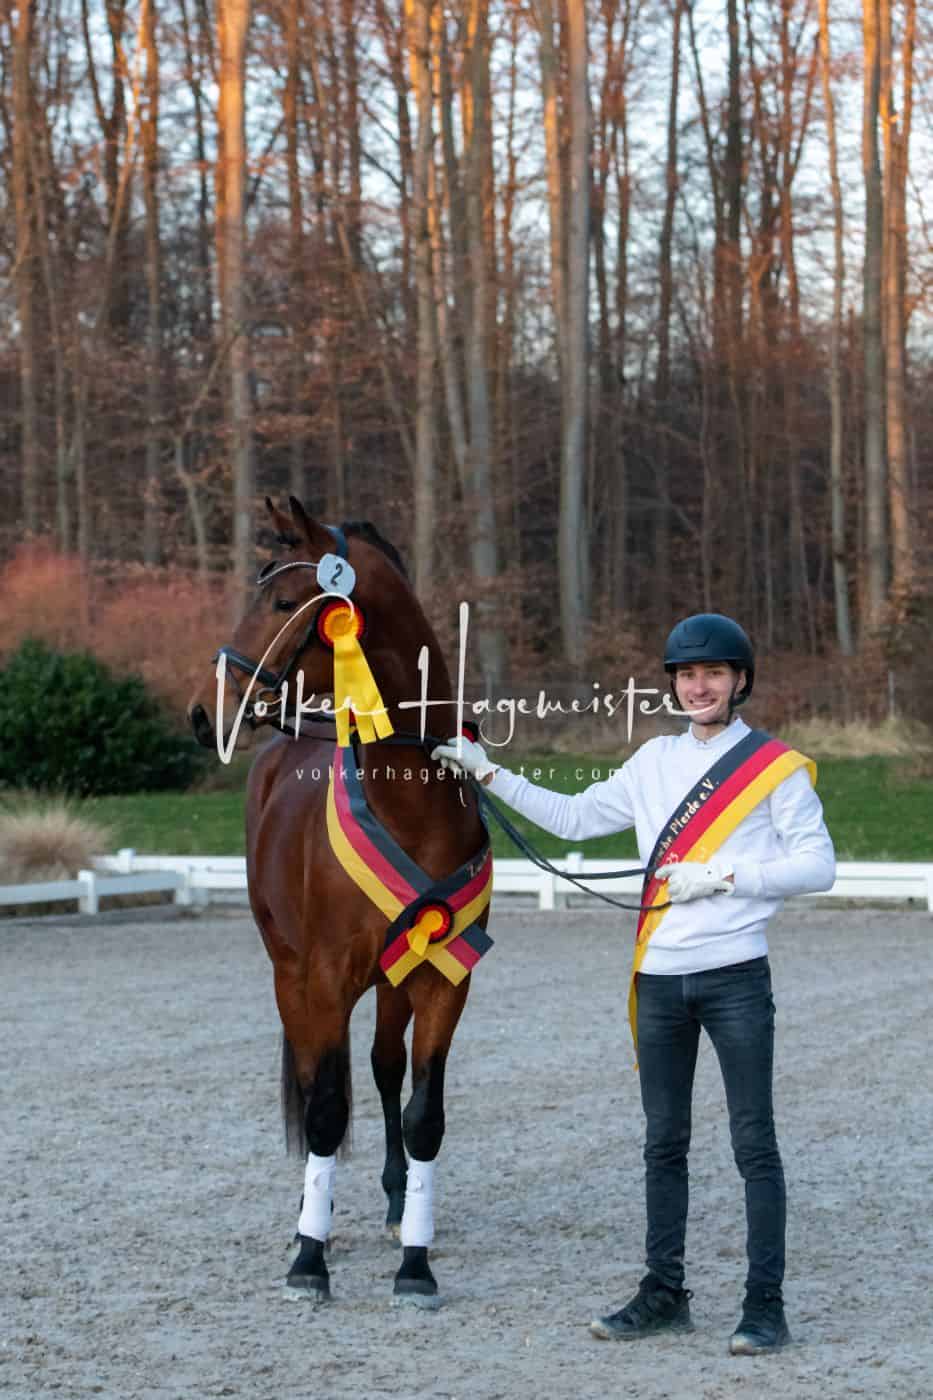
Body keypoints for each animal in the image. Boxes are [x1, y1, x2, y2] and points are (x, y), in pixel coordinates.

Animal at [187, 496, 491, 1307]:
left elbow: (423, 1115)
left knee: (383, 1068)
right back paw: (306, 1210)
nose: (205, 712)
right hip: (290, 975)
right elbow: (322, 1109)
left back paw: (392, 1200)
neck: (410, 809)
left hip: (389, 982)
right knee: (310, 1080)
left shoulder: (440, 978)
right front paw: (309, 1259)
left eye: (283, 602)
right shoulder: (321, 978)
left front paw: (416, 1263)